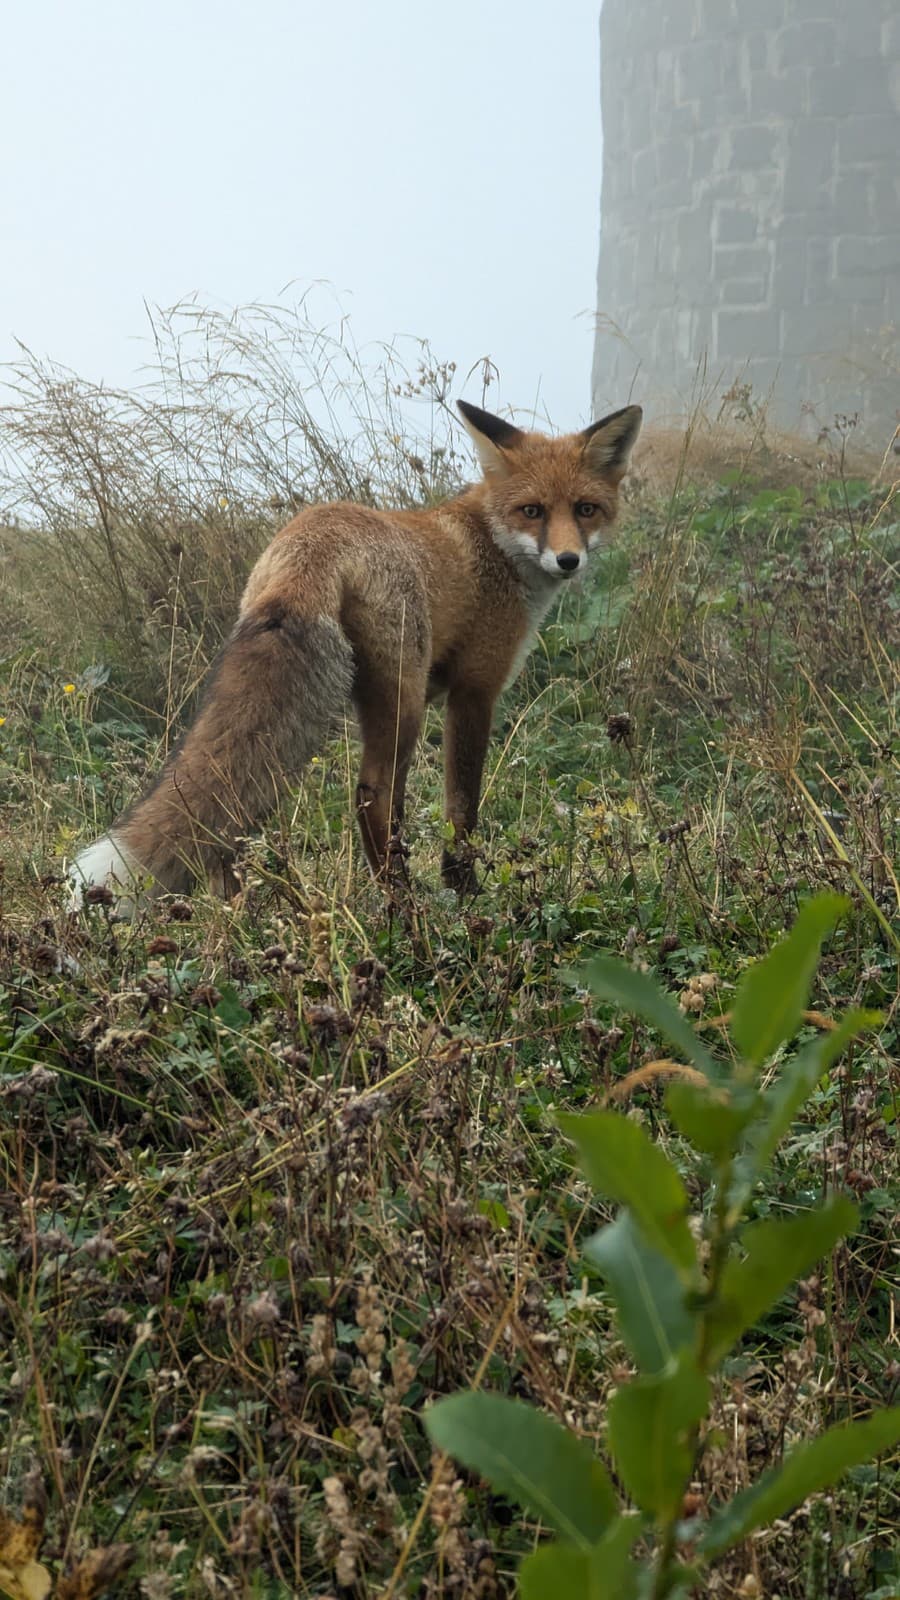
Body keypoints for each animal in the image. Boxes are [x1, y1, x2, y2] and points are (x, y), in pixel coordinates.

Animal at [70, 400, 640, 915]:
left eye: (585, 509)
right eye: (533, 510)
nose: (568, 560)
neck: (493, 549)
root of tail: (308, 544)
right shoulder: (475, 690)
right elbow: (462, 808)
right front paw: (463, 889)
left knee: (228, 819)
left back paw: (241, 918)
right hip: (404, 703)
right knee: (371, 795)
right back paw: (403, 906)